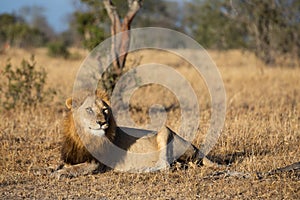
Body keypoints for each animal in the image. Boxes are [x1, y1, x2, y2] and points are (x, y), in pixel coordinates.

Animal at [52, 90, 214, 177]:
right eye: (89, 110)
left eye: (105, 110)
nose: (102, 122)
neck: (84, 137)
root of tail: (195, 147)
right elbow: (62, 164)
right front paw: (52, 169)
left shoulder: (96, 164)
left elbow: (77, 168)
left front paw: (60, 173)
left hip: (165, 131)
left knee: (165, 165)